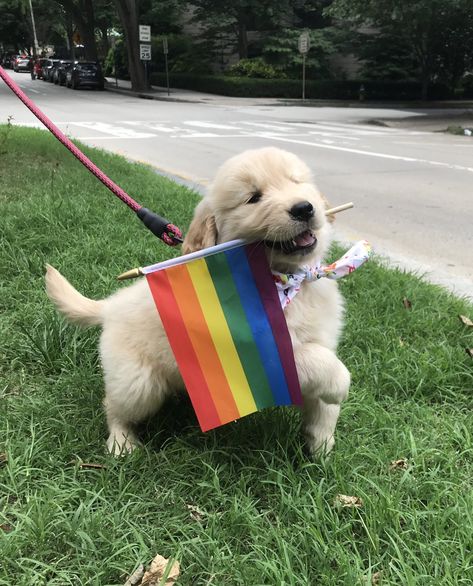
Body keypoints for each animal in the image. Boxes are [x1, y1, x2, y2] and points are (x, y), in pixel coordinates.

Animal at [46, 145, 348, 452]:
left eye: (296, 182)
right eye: (253, 198)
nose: (304, 208)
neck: (288, 280)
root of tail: (111, 305)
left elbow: (323, 402)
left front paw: (322, 443)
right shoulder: (254, 356)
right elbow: (319, 361)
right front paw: (340, 385)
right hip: (139, 383)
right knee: (113, 405)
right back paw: (121, 442)